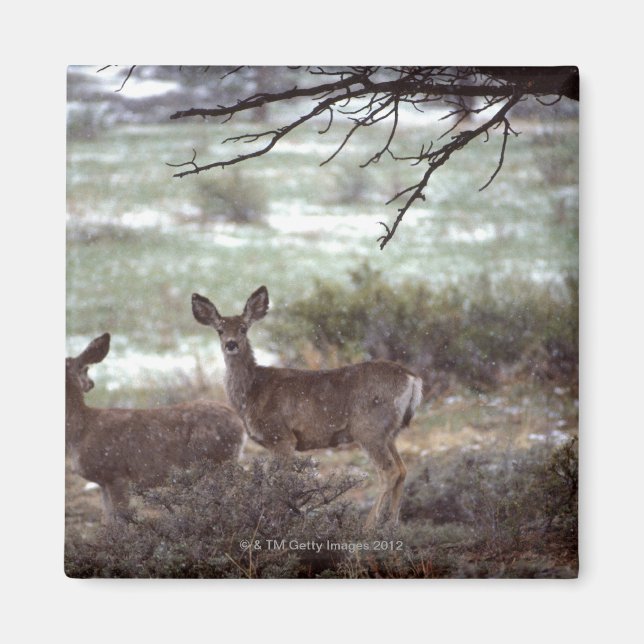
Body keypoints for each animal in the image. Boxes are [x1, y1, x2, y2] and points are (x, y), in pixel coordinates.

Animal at [65, 333, 245, 525]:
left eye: (86, 370)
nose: (91, 384)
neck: (81, 429)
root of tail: (240, 424)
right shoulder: (103, 482)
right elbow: (107, 521)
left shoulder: (116, 473)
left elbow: (121, 520)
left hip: (218, 460)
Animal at [191, 286, 423, 529]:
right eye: (219, 330)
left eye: (244, 328)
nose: (231, 344)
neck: (252, 392)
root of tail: (412, 378)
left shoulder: (281, 436)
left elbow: (278, 483)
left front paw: (276, 522)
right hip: (391, 433)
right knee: (403, 469)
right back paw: (392, 526)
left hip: (369, 428)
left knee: (389, 471)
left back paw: (368, 526)